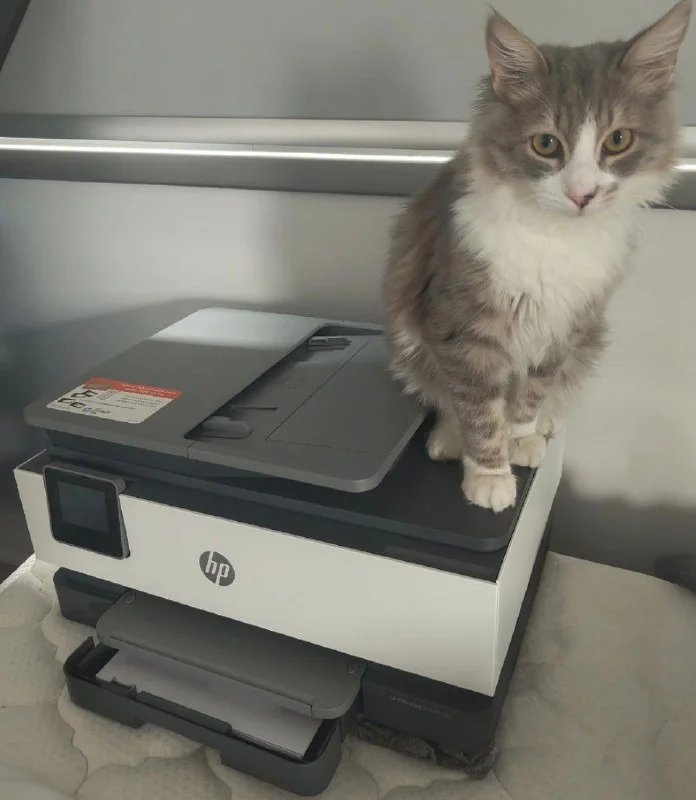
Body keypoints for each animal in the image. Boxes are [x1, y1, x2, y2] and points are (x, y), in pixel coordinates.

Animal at [384, 0, 691, 512]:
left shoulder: (566, 322)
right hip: (409, 342)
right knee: (443, 398)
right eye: (546, 144)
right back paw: (449, 440)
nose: (583, 194)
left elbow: (532, 391)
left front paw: (522, 437)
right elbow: (478, 407)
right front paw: (489, 474)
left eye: (618, 140)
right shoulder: (463, 328)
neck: (556, 236)